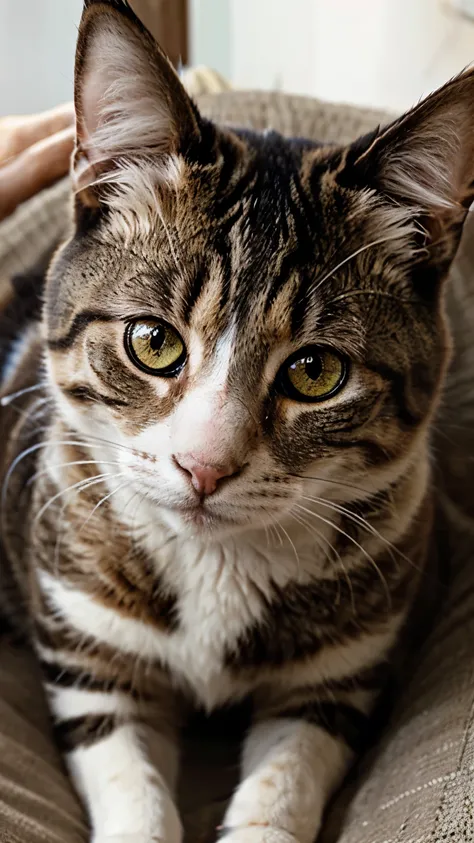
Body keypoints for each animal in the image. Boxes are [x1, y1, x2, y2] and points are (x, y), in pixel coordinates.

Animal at [0, 1, 474, 843]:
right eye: (152, 341)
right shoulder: (90, 658)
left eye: (316, 371)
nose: (205, 465)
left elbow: (284, 779)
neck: (214, 562)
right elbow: (129, 776)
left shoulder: (336, 677)